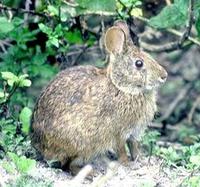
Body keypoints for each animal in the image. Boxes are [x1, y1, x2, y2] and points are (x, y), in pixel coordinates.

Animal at [29, 20, 167, 175]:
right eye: (139, 63)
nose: (164, 76)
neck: (122, 88)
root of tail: (38, 145)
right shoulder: (118, 133)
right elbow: (122, 150)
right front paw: (128, 165)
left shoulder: (134, 133)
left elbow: (134, 147)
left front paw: (140, 161)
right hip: (83, 145)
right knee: (70, 165)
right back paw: (90, 174)